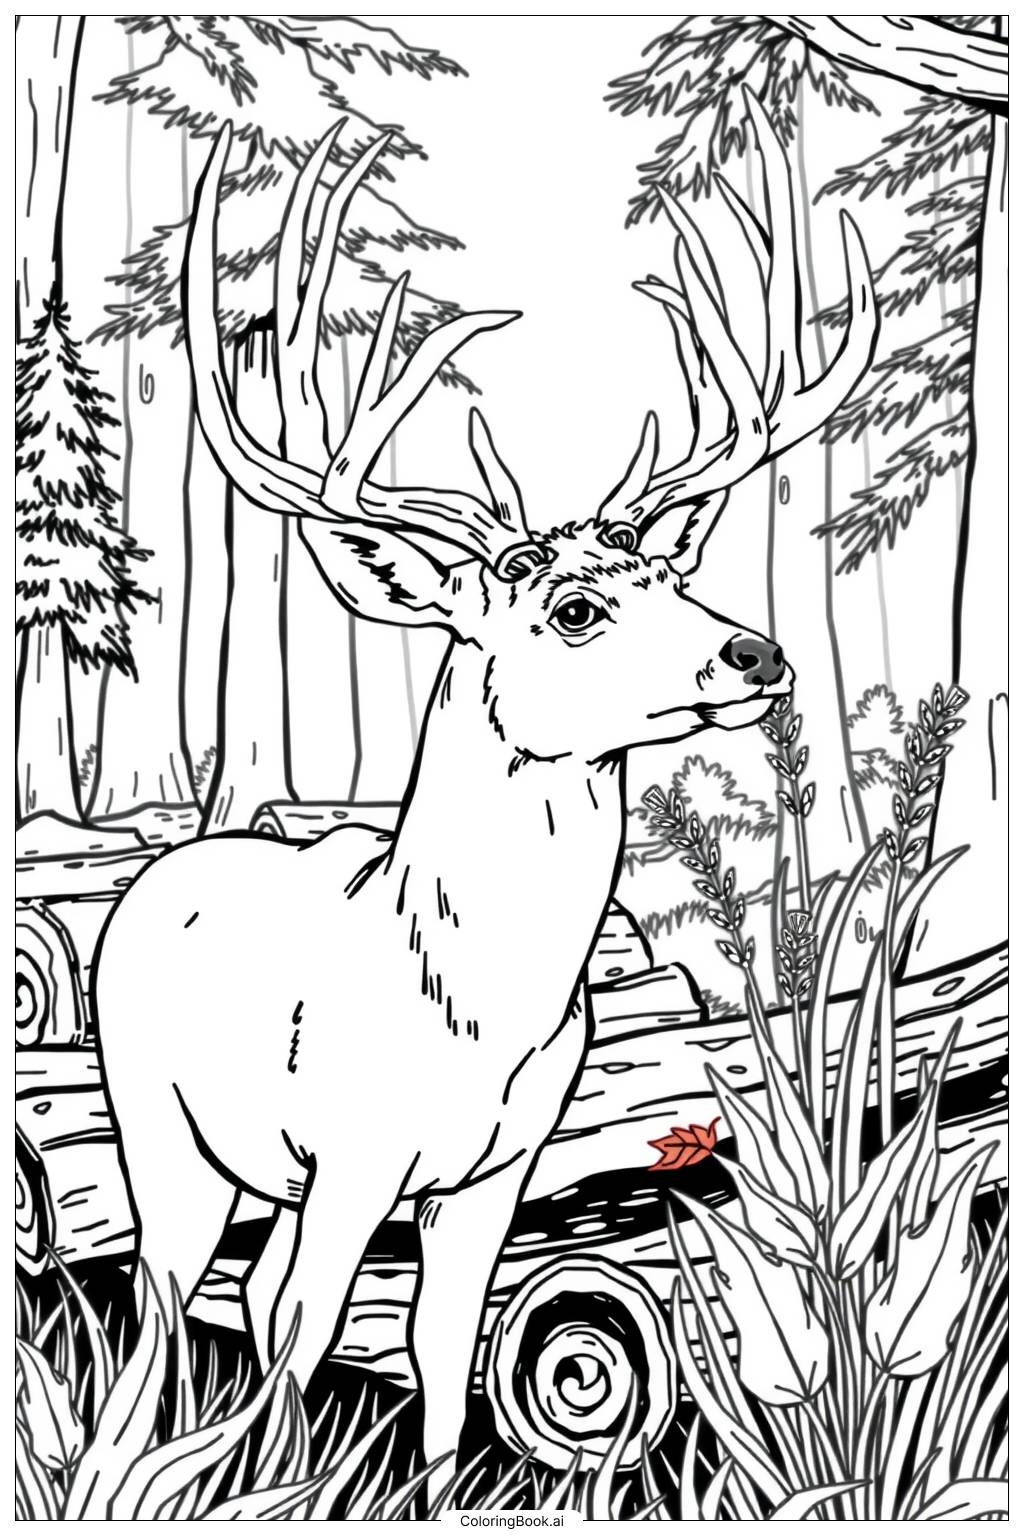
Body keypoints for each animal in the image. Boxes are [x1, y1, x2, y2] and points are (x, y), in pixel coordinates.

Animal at [94, 89, 877, 1481]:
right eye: (572, 608)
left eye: (668, 574)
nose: (757, 652)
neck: (469, 1009)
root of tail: (164, 869)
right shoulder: (351, 1149)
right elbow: (307, 1336)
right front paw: (280, 1485)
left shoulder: (495, 1170)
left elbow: (442, 1349)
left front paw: (441, 1485)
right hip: (165, 1129)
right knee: (172, 1295)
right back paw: (126, 1463)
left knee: (245, 1293)